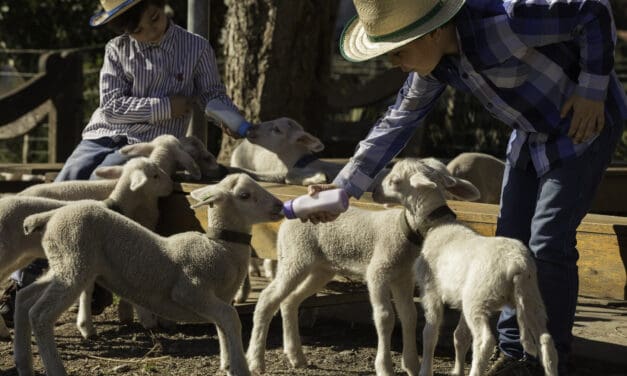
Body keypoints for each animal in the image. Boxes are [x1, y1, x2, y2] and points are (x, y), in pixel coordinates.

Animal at [0, 157, 173, 340]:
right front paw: (147, 320)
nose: (171, 185)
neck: (117, 205)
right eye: (155, 175)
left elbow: (87, 289)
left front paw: (85, 326)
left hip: (19, 256)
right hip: (5, 250)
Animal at [14, 174, 284, 376]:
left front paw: (227, 364)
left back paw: (23, 363)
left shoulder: (219, 298)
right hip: (73, 263)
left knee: (25, 298)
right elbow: (231, 319)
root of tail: (51, 217)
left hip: (62, 263)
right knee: (40, 314)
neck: (222, 248)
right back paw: (55, 368)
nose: (280, 206)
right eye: (244, 195)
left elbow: (222, 326)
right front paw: (240, 368)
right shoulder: (190, 291)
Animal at [247, 159, 480, 376]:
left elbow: (409, 315)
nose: (375, 192)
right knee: (268, 298)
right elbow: (385, 317)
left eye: (395, 181)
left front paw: (411, 365)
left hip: (320, 268)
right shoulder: (378, 272)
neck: (405, 230)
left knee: (290, 301)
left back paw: (296, 356)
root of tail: (289, 217)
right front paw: (384, 367)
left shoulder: (403, 276)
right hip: (295, 257)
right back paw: (256, 361)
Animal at [372, 159, 556, 376]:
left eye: (395, 181)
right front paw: (457, 371)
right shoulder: (459, 297)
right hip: (531, 297)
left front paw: (425, 370)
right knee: (546, 340)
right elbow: (460, 337)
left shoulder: (431, 290)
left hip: (478, 299)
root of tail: (517, 264)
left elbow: (430, 333)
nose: (374, 192)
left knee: (484, 342)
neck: (438, 224)